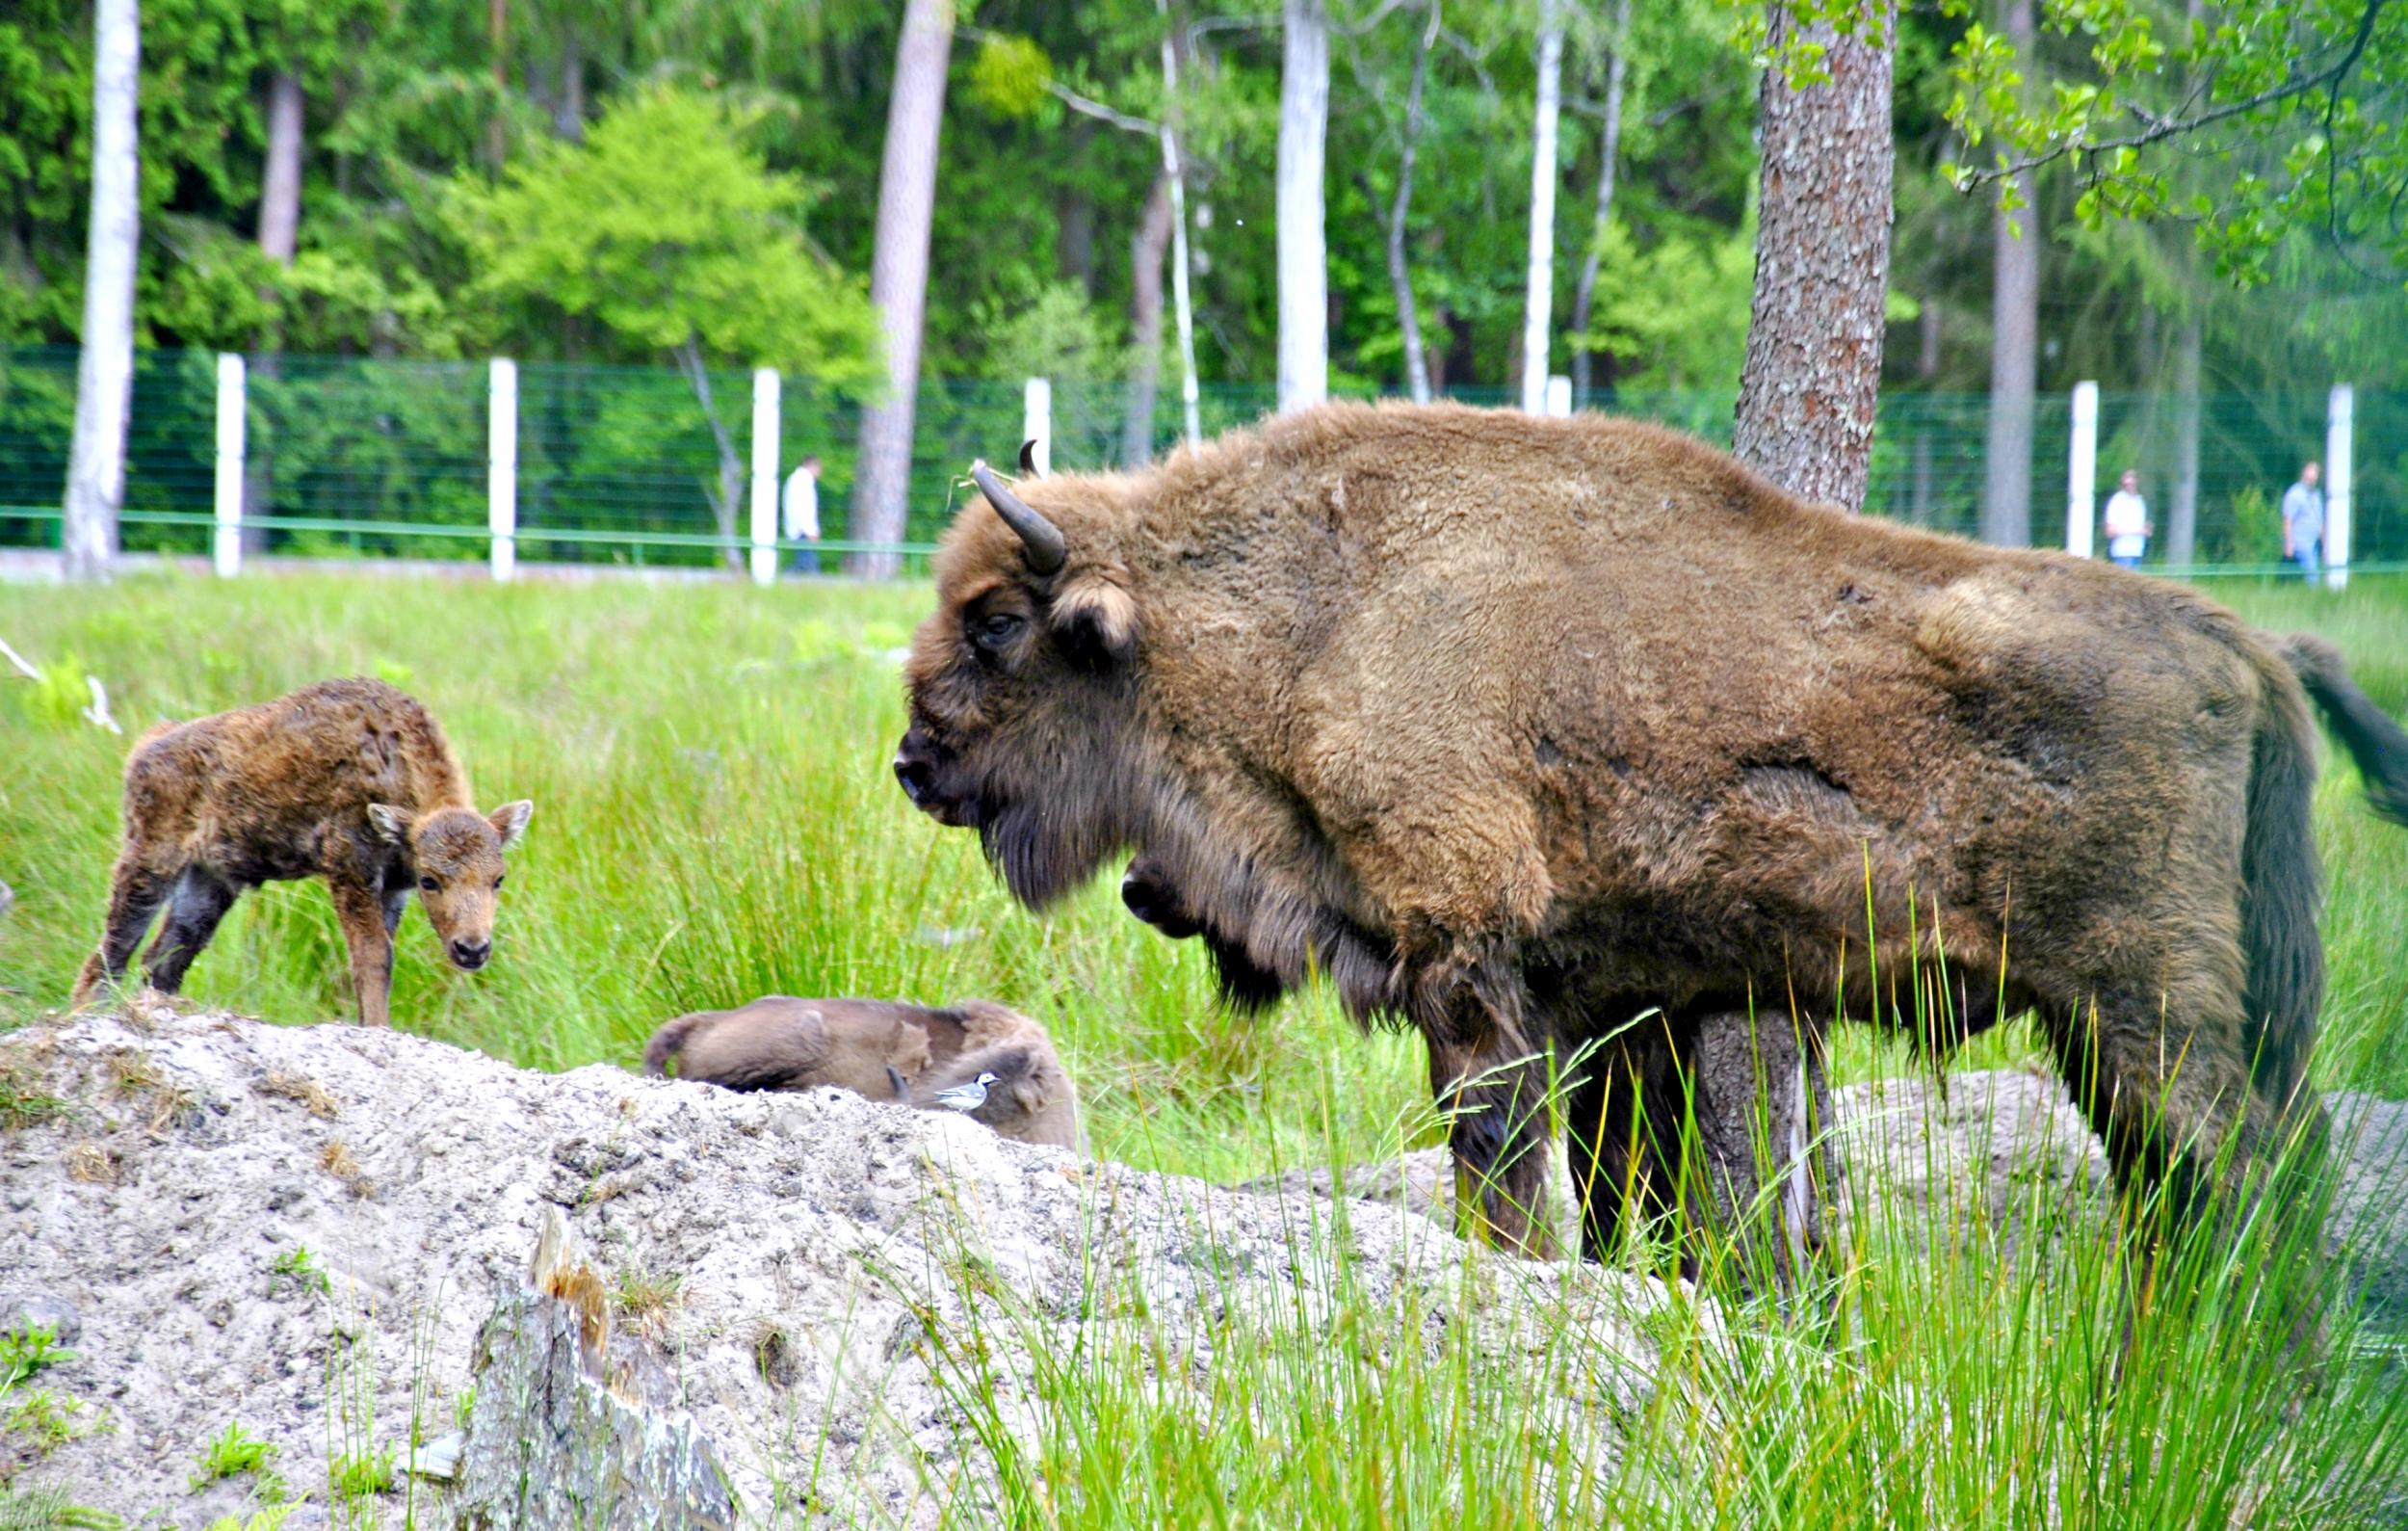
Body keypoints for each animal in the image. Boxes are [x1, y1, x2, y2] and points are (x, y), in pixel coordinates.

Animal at [68, 678, 532, 1030]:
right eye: (431, 880)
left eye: (498, 879)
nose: (472, 949)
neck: (396, 766)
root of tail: (148, 744)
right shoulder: (350, 868)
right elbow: (373, 956)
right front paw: (377, 1029)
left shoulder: (392, 890)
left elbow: (376, 959)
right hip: (150, 862)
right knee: (110, 955)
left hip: (208, 885)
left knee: (162, 960)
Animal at [901, 399, 2408, 1290]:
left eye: (997, 622)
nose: (915, 763)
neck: (1321, 612)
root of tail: (2245, 644)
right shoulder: (1621, 1001)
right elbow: (1622, 1178)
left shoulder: (1472, 967)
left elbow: (1501, 1159)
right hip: (2142, 1028)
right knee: (2201, 1186)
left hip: (2142, 1012)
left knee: (2240, 1180)